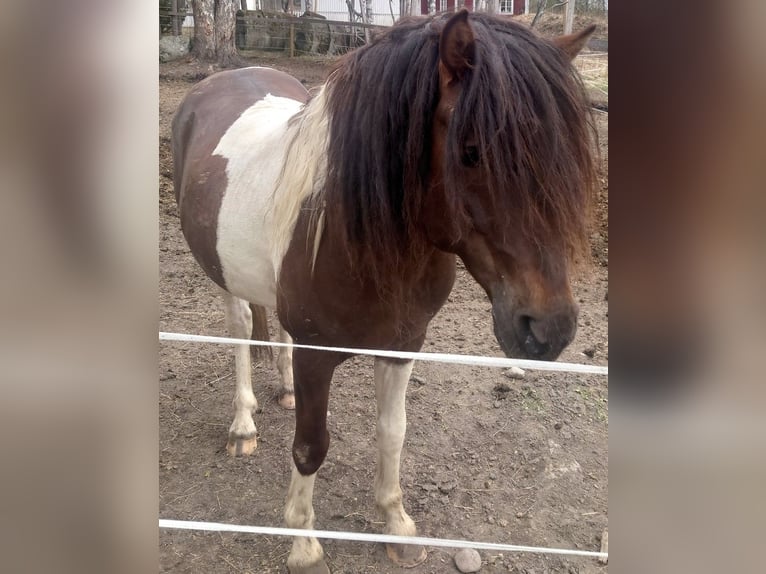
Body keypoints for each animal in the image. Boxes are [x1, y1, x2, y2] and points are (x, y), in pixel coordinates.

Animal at [172, 10, 596, 573]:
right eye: (471, 152)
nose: (550, 329)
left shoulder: (403, 344)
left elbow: (393, 433)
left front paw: (396, 524)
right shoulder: (316, 354)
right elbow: (311, 445)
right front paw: (304, 543)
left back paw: (282, 391)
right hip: (222, 277)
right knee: (240, 331)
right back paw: (242, 426)